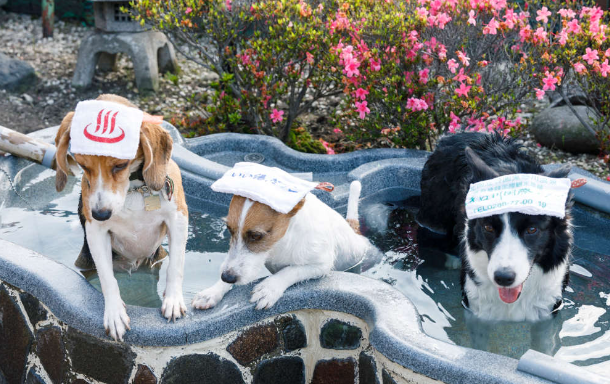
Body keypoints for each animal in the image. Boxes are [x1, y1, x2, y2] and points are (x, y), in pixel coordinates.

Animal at [54, 94, 188, 340]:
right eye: (82, 165)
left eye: (120, 165)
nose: (100, 213)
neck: (134, 189)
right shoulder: (95, 232)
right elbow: (108, 279)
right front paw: (114, 313)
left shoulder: (179, 219)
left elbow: (176, 265)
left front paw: (173, 300)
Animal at [192, 182, 372, 310]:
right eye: (229, 229)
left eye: (256, 236)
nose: (227, 277)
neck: (280, 244)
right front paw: (213, 291)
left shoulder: (321, 265)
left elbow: (291, 270)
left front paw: (269, 287)